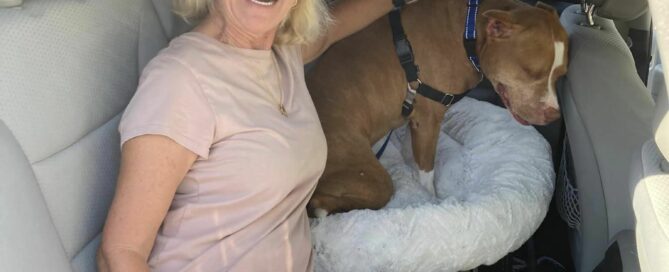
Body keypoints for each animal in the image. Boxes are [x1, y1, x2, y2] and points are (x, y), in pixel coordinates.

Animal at [306, 0, 568, 217]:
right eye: (530, 72)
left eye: (561, 74)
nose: (554, 113)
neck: (467, 32)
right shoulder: (428, 121)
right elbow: (427, 172)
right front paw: (432, 200)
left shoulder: (416, 120)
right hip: (369, 177)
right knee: (324, 201)